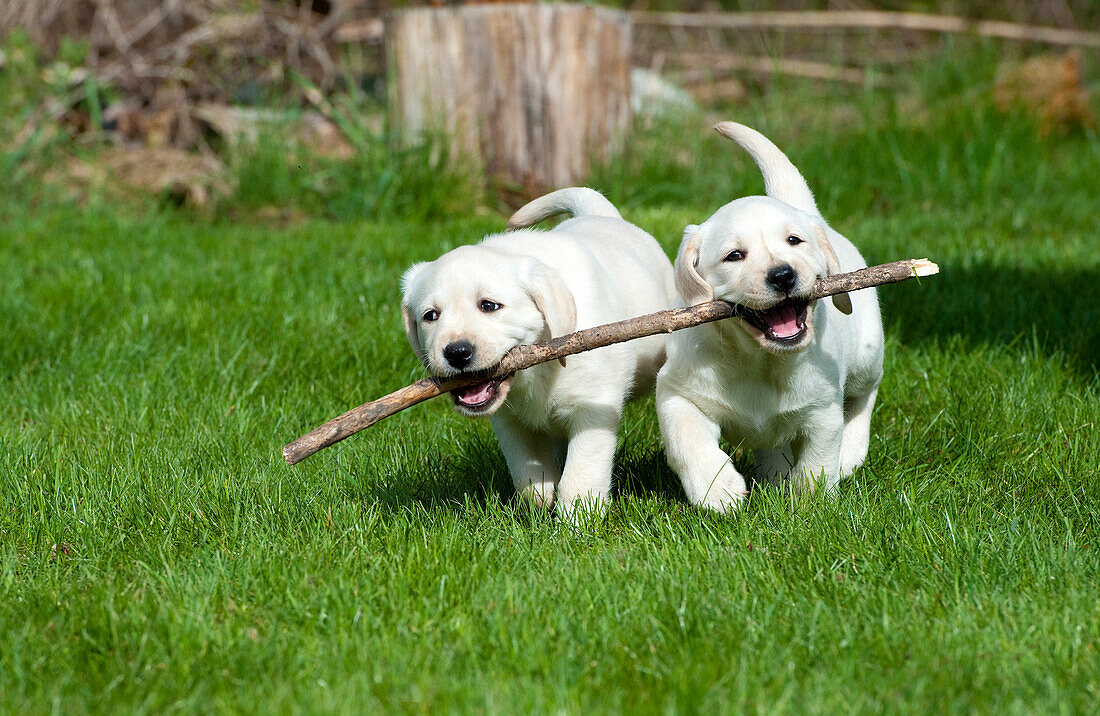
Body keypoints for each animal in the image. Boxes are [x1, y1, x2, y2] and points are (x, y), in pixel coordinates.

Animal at [404, 188, 677, 519]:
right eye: (430, 315)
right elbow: (527, 473)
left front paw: (576, 520)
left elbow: (580, 475)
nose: (456, 353)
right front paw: (539, 502)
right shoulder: (509, 422)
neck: (535, 373)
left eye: (489, 305)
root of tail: (599, 214)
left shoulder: (593, 407)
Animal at [651, 124, 884, 514]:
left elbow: (818, 461)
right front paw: (717, 490)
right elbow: (688, 442)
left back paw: (850, 452)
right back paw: (773, 475)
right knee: (772, 446)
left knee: (864, 396)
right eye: (734, 256)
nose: (783, 275)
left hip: (868, 355)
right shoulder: (678, 391)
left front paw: (812, 504)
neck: (761, 361)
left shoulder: (823, 408)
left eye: (794, 241)